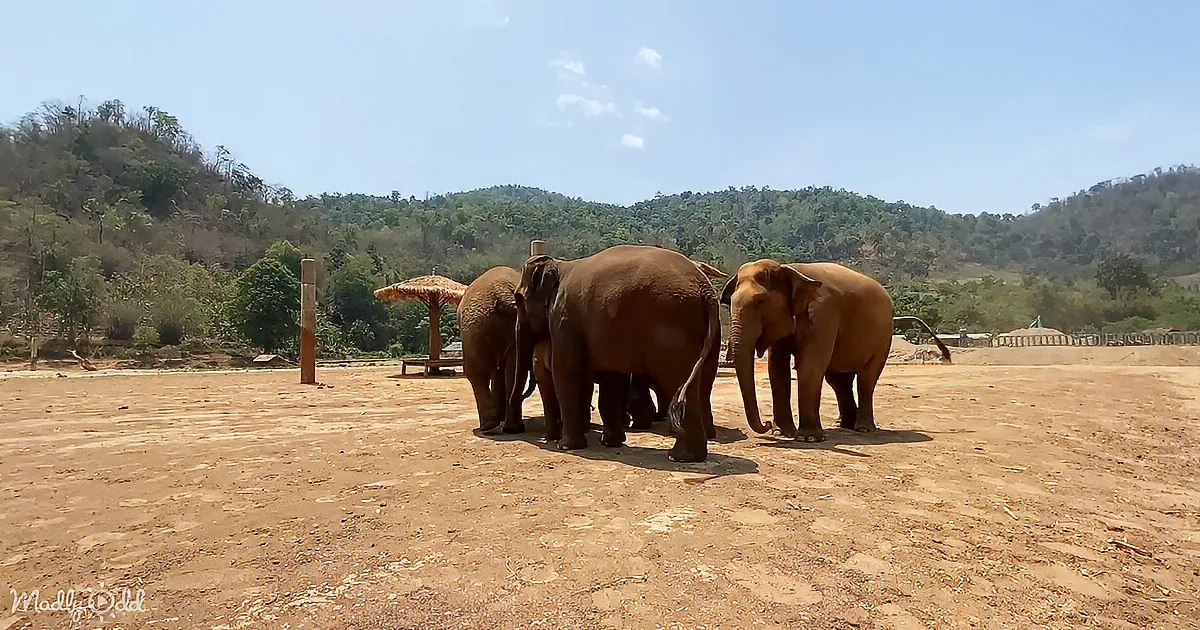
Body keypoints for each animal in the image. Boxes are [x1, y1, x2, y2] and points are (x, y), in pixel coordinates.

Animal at [507, 244, 721, 462]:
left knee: (675, 378)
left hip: (672, 327)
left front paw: (565, 446)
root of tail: (705, 289)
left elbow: (566, 371)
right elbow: (612, 377)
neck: (559, 264)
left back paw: (679, 456)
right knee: (700, 383)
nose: (512, 429)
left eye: (518, 299)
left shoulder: (564, 319)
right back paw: (690, 454)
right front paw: (611, 443)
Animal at [720, 259, 950, 442]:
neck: (791, 269)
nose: (766, 424)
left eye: (760, 302)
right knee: (839, 380)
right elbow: (777, 368)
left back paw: (863, 428)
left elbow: (809, 366)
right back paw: (844, 424)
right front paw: (783, 434)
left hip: (883, 339)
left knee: (866, 379)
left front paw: (808, 438)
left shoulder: (824, 314)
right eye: (729, 302)